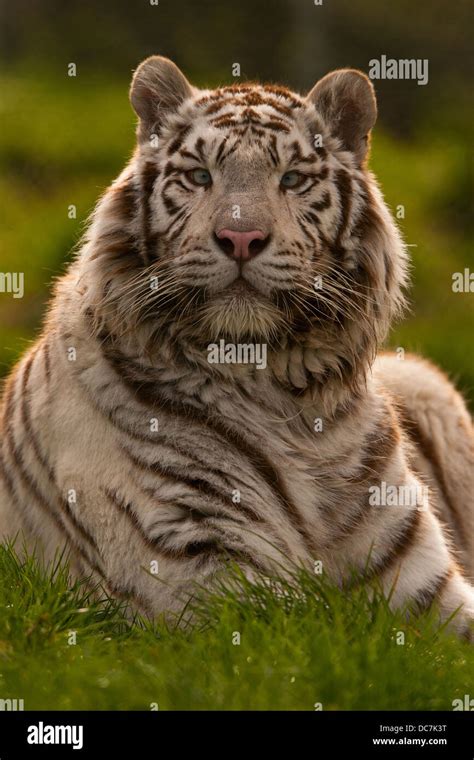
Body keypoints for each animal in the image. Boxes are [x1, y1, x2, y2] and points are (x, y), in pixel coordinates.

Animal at [0, 56, 474, 632]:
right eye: (200, 176)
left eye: (291, 179)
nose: (241, 238)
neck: (295, 408)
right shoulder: (206, 575)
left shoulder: (425, 588)